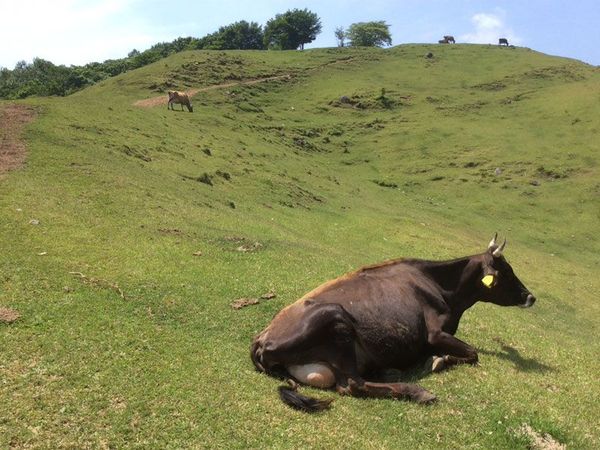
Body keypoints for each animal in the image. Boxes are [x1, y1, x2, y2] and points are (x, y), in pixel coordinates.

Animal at [251, 236, 536, 412]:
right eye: (507, 271)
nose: (530, 296)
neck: (443, 290)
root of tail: (261, 340)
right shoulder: (435, 333)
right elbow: (474, 353)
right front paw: (439, 361)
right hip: (336, 319)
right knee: (353, 384)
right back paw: (416, 390)